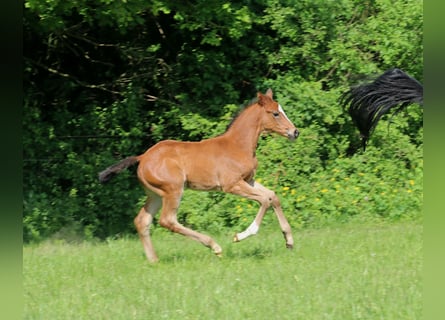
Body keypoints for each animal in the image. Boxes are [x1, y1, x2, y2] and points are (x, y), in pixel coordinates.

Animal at [97, 88, 298, 262]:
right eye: (275, 113)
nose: (295, 132)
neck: (238, 145)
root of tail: (143, 157)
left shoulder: (249, 180)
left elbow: (272, 196)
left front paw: (289, 241)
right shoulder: (231, 185)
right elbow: (264, 200)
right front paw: (240, 236)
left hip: (155, 194)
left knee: (142, 221)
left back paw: (154, 260)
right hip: (173, 189)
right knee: (167, 220)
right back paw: (214, 246)